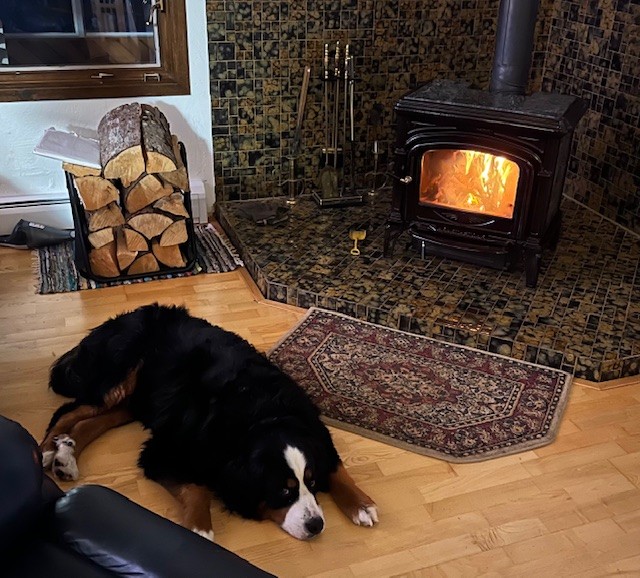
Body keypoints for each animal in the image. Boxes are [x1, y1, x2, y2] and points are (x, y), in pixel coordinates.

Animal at [40, 304, 378, 541]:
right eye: (283, 491)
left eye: (311, 482)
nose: (316, 525)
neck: (262, 414)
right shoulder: (163, 451)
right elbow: (196, 488)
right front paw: (199, 528)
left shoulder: (315, 431)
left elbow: (337, 468)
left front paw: (361, 503)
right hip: (118, 377)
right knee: (69, 412)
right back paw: (47, 450)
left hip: (133, 401)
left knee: (90, 422)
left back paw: (66, 455)